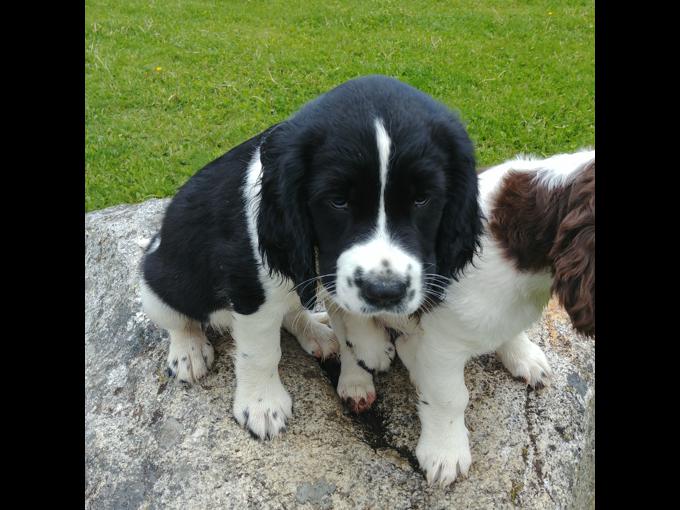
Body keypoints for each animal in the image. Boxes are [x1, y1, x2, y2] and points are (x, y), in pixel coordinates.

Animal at [138, 74, 480, 438]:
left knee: (291, 310)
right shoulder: (249, 288)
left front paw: (365, 345)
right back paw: (188, 351)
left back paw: (316, 332)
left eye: (422, 199)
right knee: (177, 319)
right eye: (338, 201)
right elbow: (260, 352)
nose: (385, 294)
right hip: (159, 279)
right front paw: (262, 405)